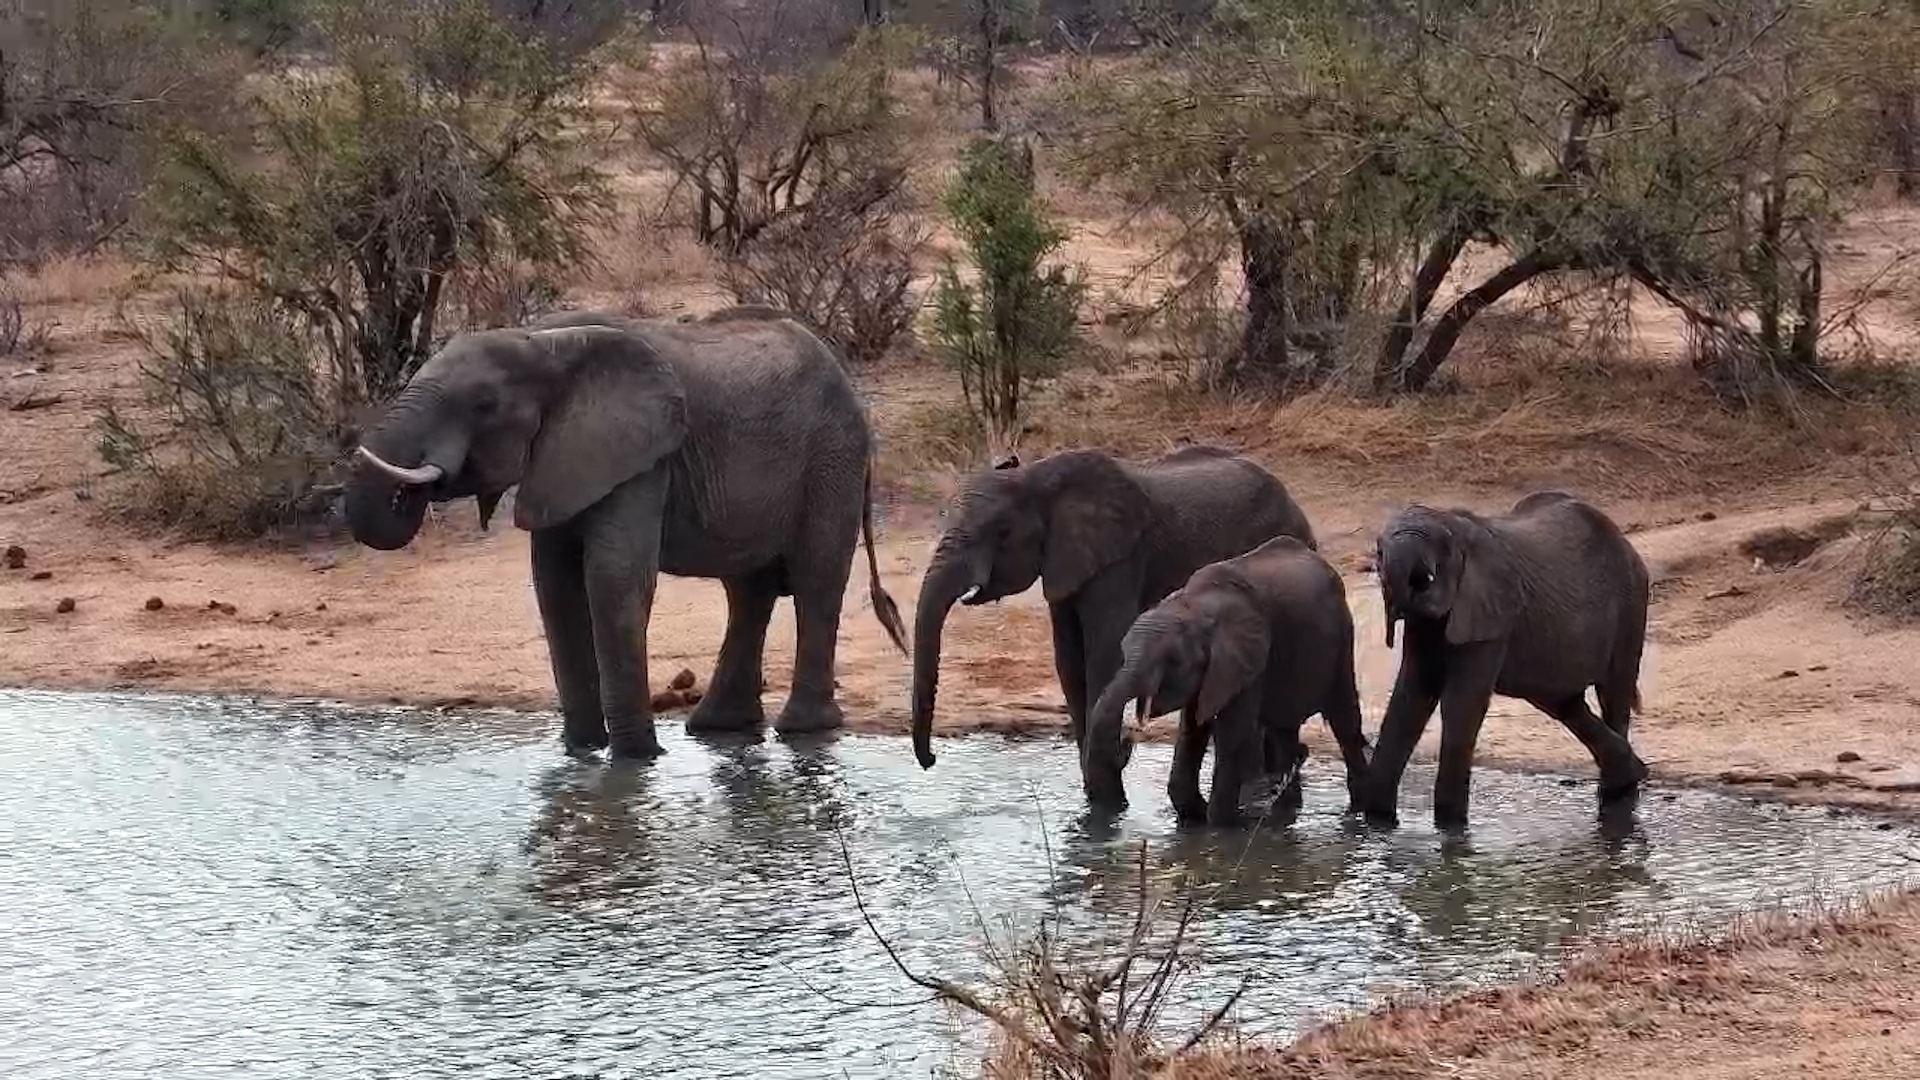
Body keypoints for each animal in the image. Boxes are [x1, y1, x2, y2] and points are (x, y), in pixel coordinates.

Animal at [344, 306, 909, 760]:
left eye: (483, 404)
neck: (543, 343)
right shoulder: (563, 458)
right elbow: (555, 588)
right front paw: (582, 754)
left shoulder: (642, 458)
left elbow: (613, 580)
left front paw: (636, 761)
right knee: (748, 590)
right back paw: (719, 728)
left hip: (832, 456)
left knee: (815, 580)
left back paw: (803, 731)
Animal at [907, 444, 1318, 792]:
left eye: (1002, 532)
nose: (931, 760)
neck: (1040, 476)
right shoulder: (1066, 562)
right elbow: (1069, 661)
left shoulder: (1119, 558)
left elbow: (1103, 653)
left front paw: (1106, 794)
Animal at [1082, 535, 1371, 823]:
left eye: (1171, 660)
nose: (1128, 737)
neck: (1193, 605)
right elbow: (1193, 729)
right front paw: (1196, 816)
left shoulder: (1250, 660)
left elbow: (1232, 733)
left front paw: (1221, 824)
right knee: (1284, 732)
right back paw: (1286, 812)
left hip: (1343, 635)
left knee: (1344, 719)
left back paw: (1357, 811)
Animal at [1361, 491, 1650, 828]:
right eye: (1379, 549)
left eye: (1441, 546)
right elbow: (1411, 697)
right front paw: (1378, 822)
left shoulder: (1492, 615)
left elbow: (1461, 704)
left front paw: (1450, 828)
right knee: (1565, 703)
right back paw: (1629, 777)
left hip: (1631, 604)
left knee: (1613, 693)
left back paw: (1619, 794)